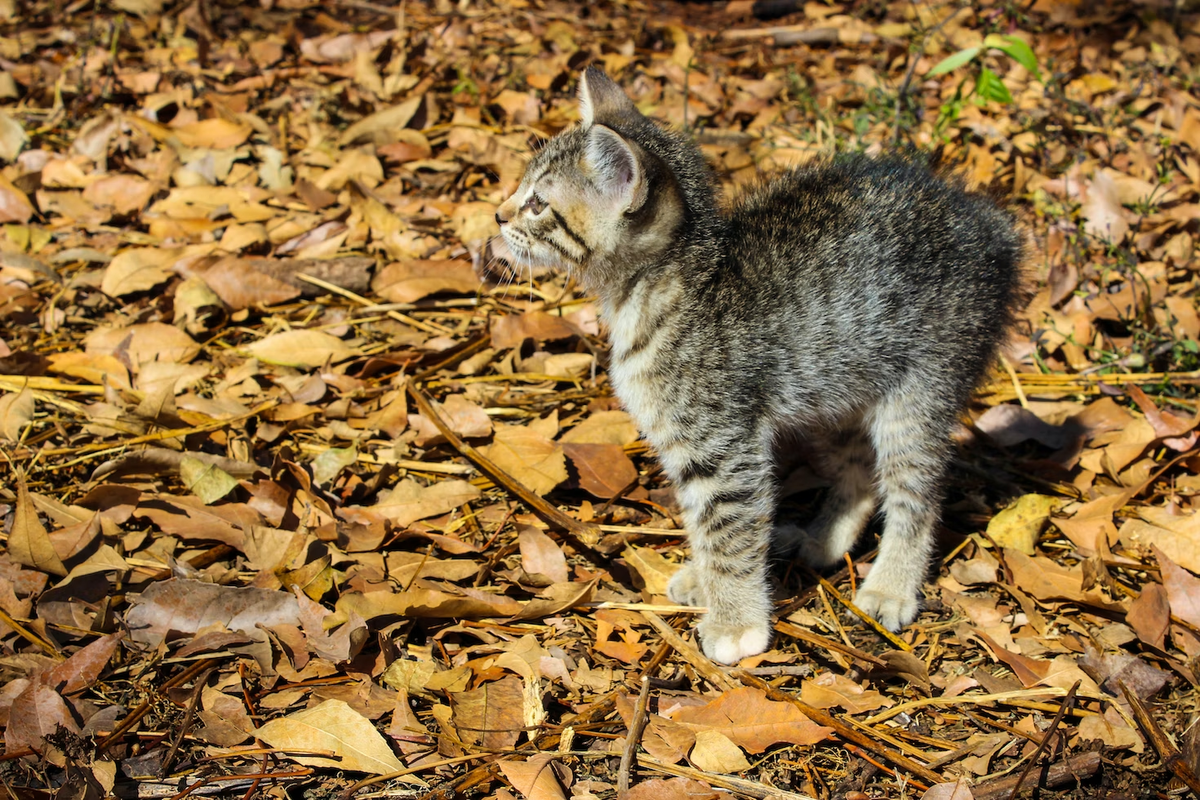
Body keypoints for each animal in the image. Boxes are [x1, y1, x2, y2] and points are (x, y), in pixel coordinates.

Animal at [496, 67, 1022, 662]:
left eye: (538, 204)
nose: (498, 214)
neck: (670, 286)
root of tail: (991, 226)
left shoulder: (722, 447)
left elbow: (728, 530)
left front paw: (735, 622)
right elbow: (704, 525)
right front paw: (705, 581)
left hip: (922, 388)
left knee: (917, 493)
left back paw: (891, 585)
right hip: (834, 384)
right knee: (858, 469)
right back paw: (823, 539)